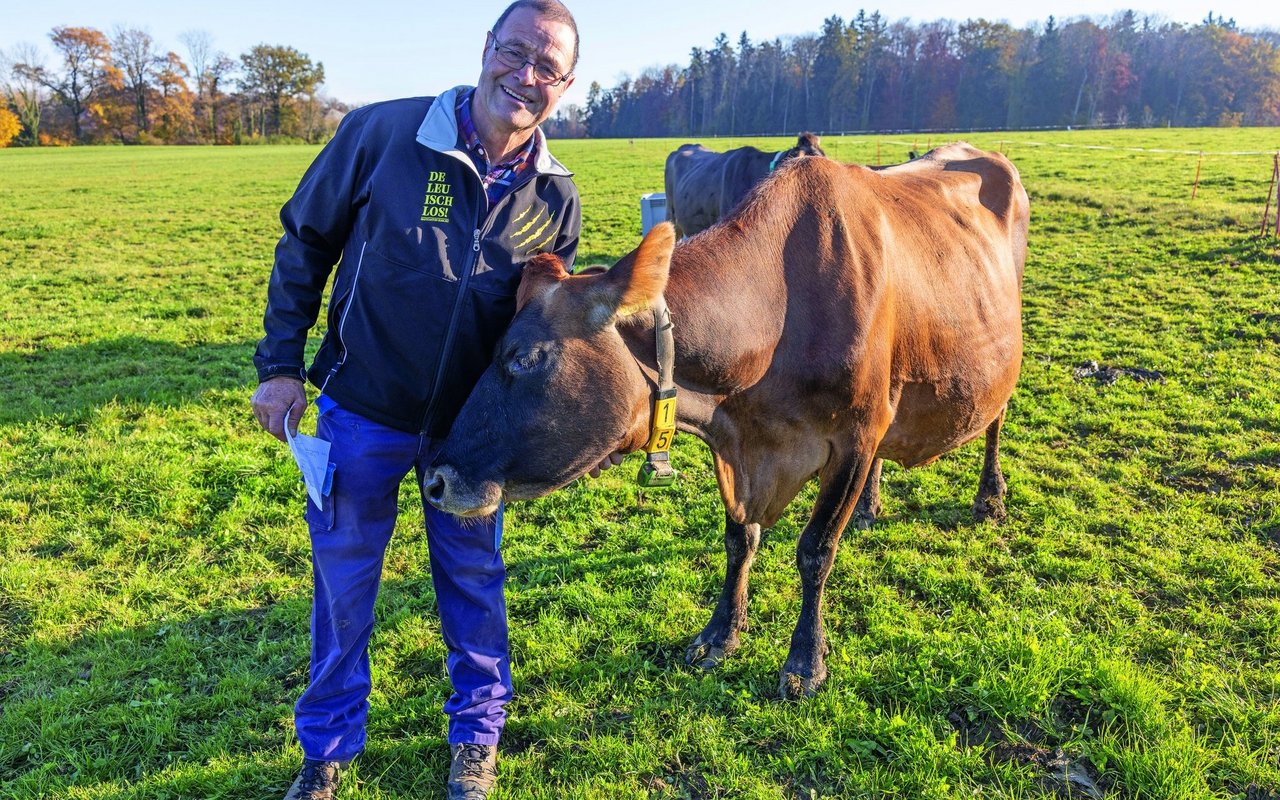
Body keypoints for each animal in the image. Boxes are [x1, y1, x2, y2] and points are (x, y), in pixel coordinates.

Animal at [427, 142, 1029, 696]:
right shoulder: (737, 448)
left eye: (526, 357)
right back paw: (870, 506)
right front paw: (721, 633)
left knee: (997, 420)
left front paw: (805, 661)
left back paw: (990, 497)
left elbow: (815, 549)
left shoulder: (857, 434)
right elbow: (740, 540)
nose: (435, 480)